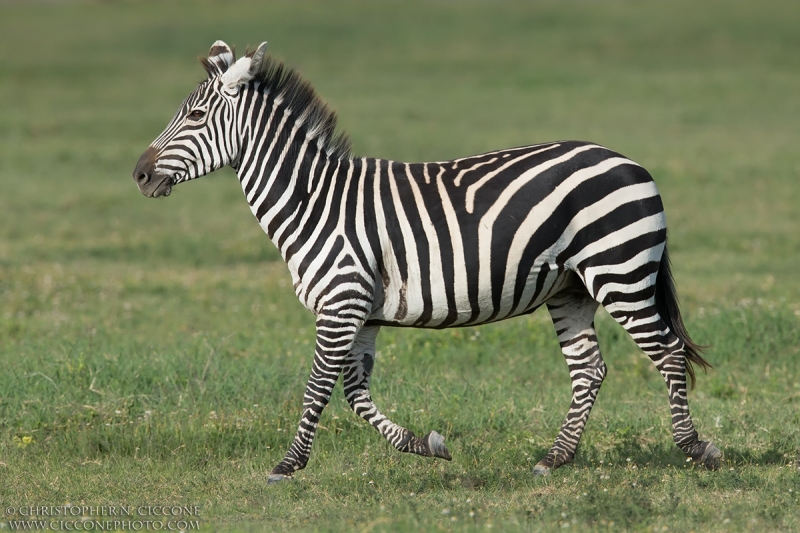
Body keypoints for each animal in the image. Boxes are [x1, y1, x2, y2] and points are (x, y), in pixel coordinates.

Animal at [133, 40, 724, 482]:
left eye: (196, 114)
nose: (139, 174)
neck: (314, 200)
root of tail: (630, 162)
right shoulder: (364, 312)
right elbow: (355, 393)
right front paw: (427, 444)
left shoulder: (340, 302)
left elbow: (319, 386)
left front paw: (288, 465)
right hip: (571, 288)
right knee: (589, 369)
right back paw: (555, 458)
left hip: (620, 273)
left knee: (668, 353)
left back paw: (696, 450)